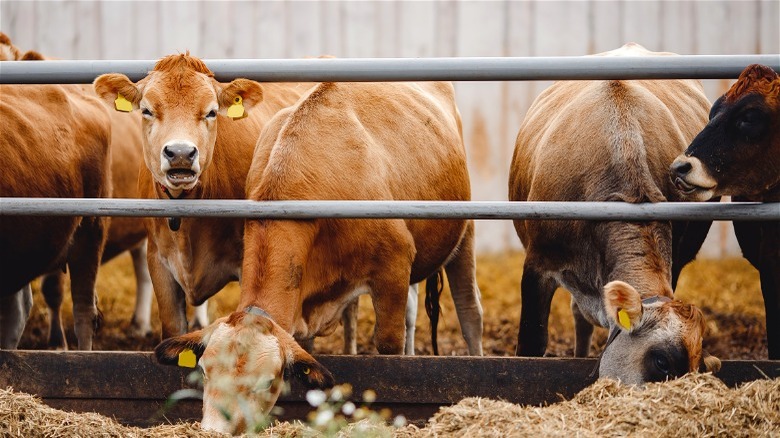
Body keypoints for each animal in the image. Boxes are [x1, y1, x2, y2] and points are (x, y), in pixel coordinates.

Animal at [153, 80, 484, 432]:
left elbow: (388, 346)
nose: (214, 431)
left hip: (463, 234)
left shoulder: (393, 268)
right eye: (204, 371)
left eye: (265, 383)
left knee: (469, 310)